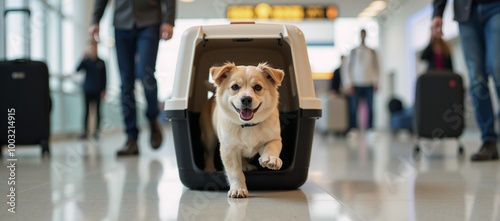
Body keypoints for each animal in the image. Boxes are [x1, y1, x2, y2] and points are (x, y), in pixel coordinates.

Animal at [200, 62, 286, 199]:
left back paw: (246, 164)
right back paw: (209, 168)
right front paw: (238, 189)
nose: (246, 99)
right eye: (235, 87)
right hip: (209, 138)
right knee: (208, 153)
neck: (247, 125)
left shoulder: (274, 139)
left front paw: (270, 159)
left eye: (257, 87)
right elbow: (235, 172)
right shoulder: (229, 149)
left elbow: (271, 147)